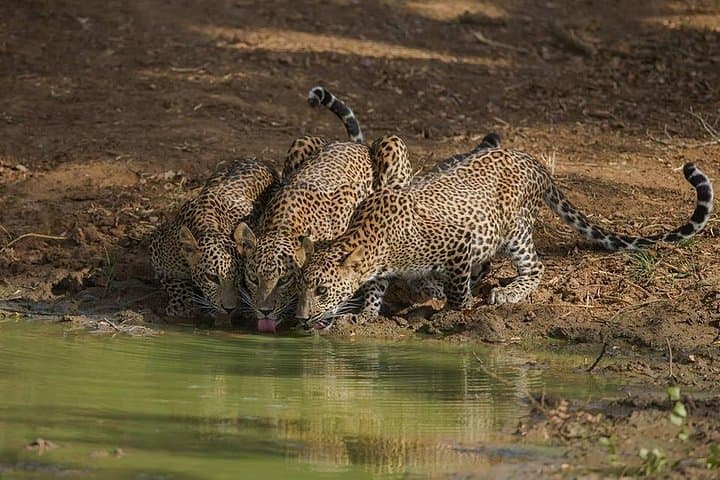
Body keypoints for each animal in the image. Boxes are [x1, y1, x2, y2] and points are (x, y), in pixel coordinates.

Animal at [150, 86, 365, 318]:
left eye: (239, 280)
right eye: (212, 277)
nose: (230, 308)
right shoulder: (158, 249)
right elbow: (172, 281)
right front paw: (182, 303)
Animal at [295, 145, 714, 329]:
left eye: (321, 290)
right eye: (301, 287)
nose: (299, 318)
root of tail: (535, 162)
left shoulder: (459, 243)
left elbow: (456, 288)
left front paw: (455, 309)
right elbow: (382, 288)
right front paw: (367, 313)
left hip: (516, 229)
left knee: (536, 267)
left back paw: (507, 292)